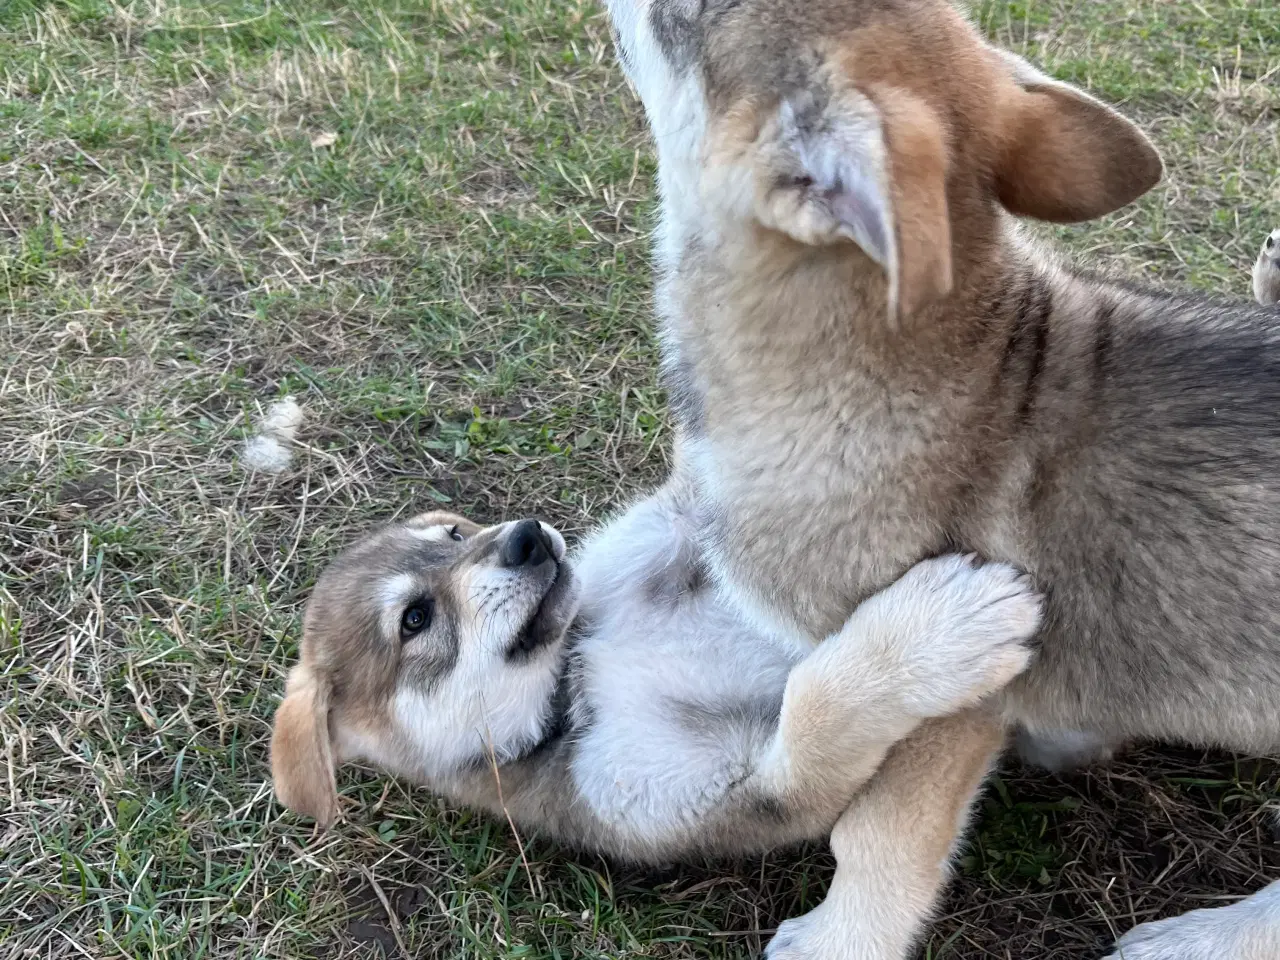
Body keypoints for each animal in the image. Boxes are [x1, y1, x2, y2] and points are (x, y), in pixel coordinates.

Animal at [270, 481, 1039, 865]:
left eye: (455, 535)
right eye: (414, 619)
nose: (525, 537)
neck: (575, 677)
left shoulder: (656, 543)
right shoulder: (753, 795)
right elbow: (816, 706)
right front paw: (941, 629)